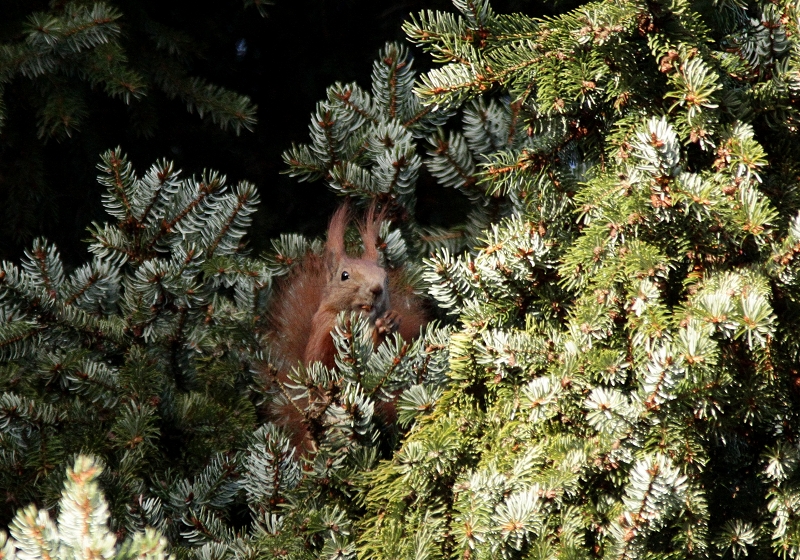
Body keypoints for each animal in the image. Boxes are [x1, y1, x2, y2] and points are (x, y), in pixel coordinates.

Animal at [262, 201, 428, 450]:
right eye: (345, 276)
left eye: (386, 277)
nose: (376, 289)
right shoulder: (321, 327)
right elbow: (322, 357)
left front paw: (391, 320)